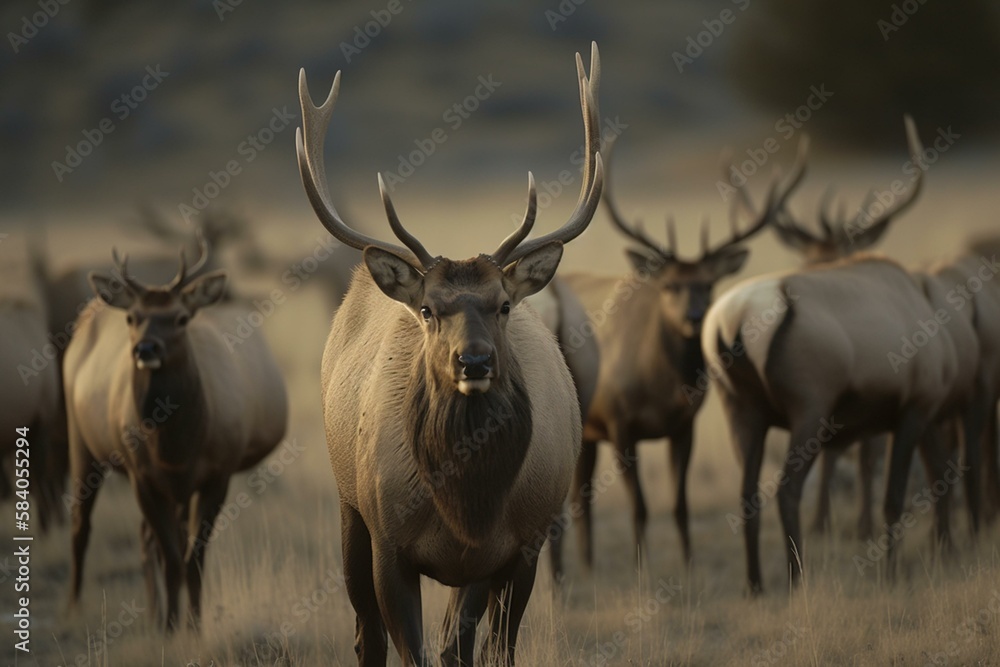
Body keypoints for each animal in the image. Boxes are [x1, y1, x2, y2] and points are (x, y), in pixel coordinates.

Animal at [62, 236, 288, 630]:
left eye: (181, 317)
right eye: (132, 317)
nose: (145, 349)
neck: (176, 448)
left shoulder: (217, 475)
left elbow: (192, 557)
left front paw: (194, 626)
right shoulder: (142, 477)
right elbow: (171, 558)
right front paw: (171, 629)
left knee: (145, 537)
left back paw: (153, 614)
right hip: (79, 437)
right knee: (81, 524)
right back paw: (75, 608)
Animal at [297, 43, 603, 666]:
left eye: (504, 304)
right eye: (428, 310)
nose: (475, 363)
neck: (467, 509)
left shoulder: (519, 546)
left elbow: (486, 649)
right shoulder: (388, 542)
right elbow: (409, 648)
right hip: (347, 505)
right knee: (365, 633)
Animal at [555, 134, 805, 570]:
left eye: (709, 284)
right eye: (670, 285)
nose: (694, 317)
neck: (659, 386)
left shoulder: (684, 425)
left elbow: (680, 505)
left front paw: (688, 565)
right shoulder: (620, 423)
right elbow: (639, 507)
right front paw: (641, 565)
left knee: (581, 494)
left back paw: (587, 565)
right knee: (579, 497)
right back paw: (584, 568)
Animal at [701, 118, 982, 593]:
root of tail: (733, 321)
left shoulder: (923, 411)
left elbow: (938, 475)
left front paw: (944, 550)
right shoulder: (913, 406)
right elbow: (895, 496)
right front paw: (893, 571)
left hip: (739, 407)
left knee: (747, 494)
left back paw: (756, 584)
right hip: (809, 406)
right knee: (787, 488)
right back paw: (796, 578)